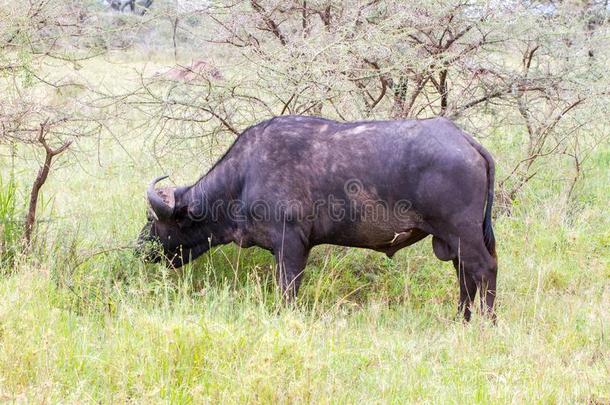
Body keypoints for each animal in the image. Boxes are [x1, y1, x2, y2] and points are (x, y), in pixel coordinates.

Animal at [139, 115, 498, 320]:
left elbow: (288, 290)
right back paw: (461, 318)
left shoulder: (290, 246)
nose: (141, 249)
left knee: (485, 269)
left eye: (153, 220)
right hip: (452, 241)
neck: (245, 175)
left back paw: (486, 322)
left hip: (463, 234)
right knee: (465, 275)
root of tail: (466, 141)